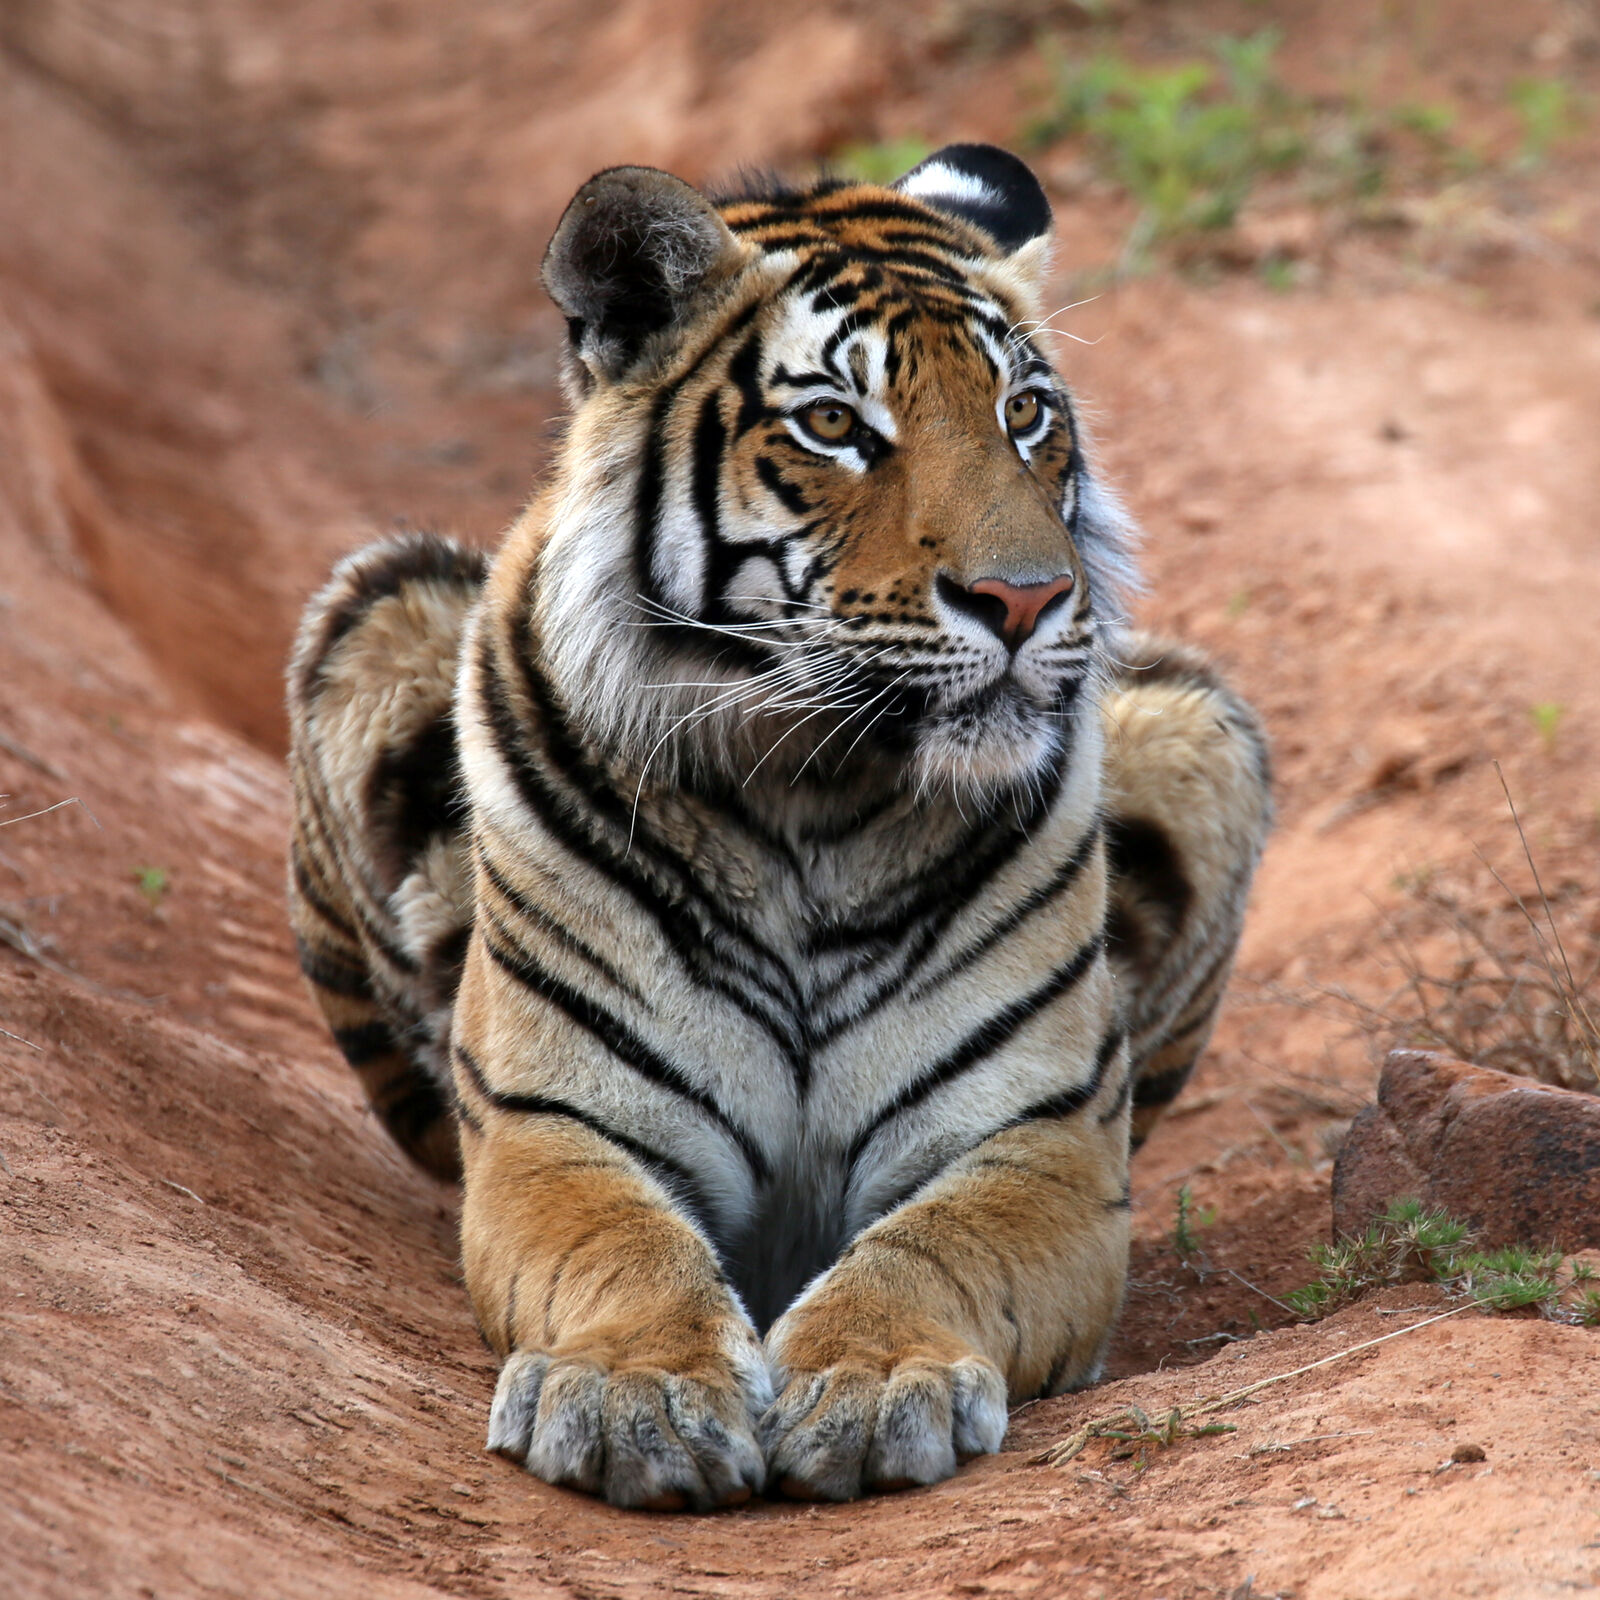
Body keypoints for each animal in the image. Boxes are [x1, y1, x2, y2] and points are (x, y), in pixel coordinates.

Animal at [284, 147, 1260, 1510]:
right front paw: (636, 1394)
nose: (1026, 598)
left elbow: (930, 1251)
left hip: (1195, 727)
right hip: (382, 609)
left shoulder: (1043, 1135)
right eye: (836, 426)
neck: (813, 788)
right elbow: (624, 1245)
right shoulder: (553, 1122)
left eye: (1024, 414)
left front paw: (872, 1381)